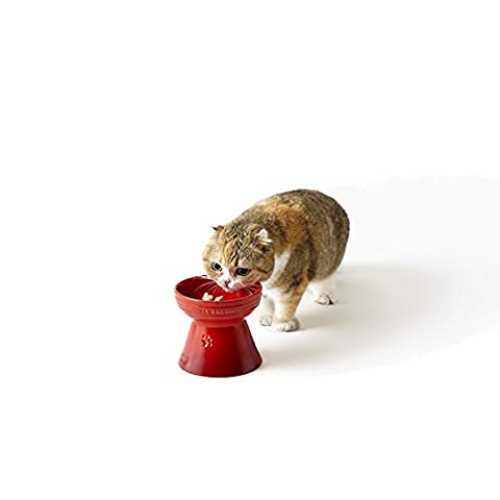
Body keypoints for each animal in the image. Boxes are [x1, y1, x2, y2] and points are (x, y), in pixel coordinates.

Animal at [202, 189, 349, 331]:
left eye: (242, 271)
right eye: (216, 266)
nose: (226, 282)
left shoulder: (293, 281)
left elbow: (286, 303)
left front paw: (283, 323)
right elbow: (265, 299)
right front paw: (266, 316)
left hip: (329, 259)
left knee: (324, 276)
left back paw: (325, 294)